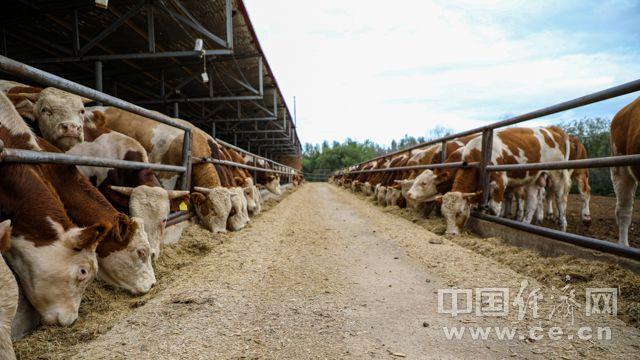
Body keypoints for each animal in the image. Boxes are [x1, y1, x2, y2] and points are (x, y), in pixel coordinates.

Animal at [436, 126, 568, 236]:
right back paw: (525, 224)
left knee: (560, 200)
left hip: (558, 174)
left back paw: (562, 228)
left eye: (459, 212)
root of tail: (553, 130)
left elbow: (493, 208)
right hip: (534, 179)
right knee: (532, 203)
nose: (450, 234)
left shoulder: (500, 182)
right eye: (444, 214)